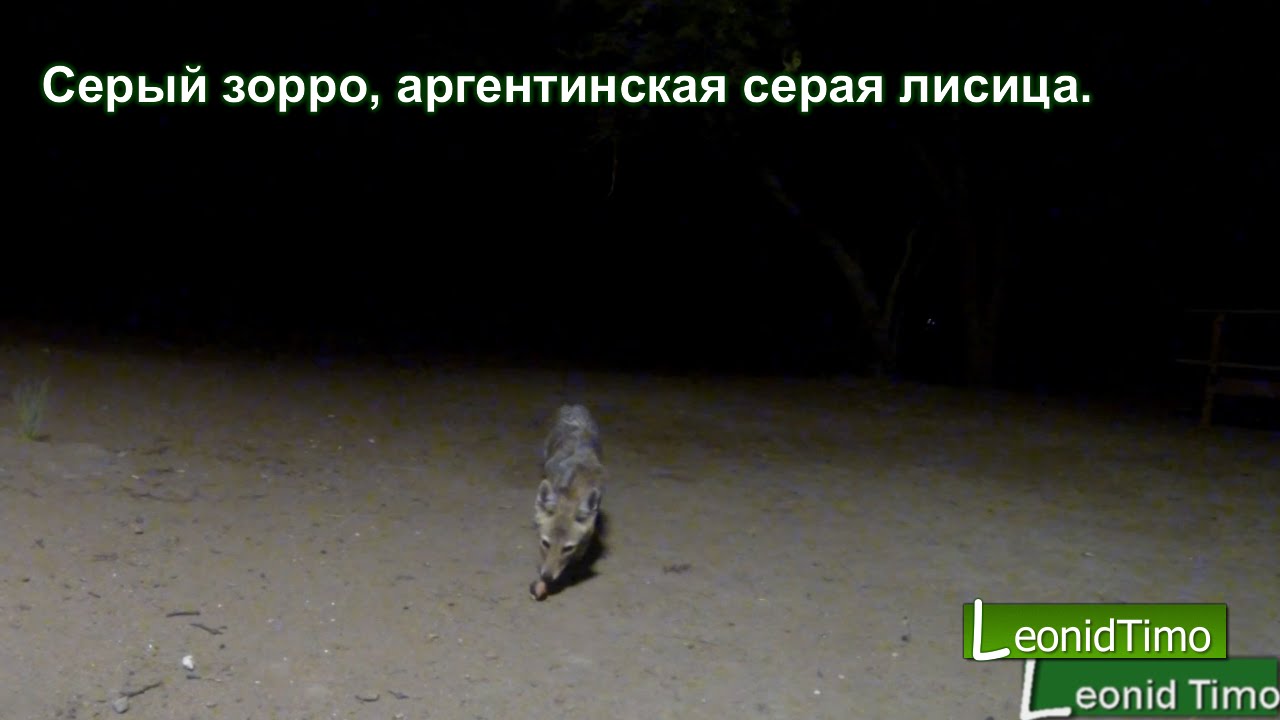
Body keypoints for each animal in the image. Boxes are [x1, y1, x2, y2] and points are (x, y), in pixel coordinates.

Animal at [530, 404, 606, 600]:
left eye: (567, 549)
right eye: (545, 543)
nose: (546, 577)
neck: (573, 490)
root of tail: (574, 406)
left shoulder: (585, 538)